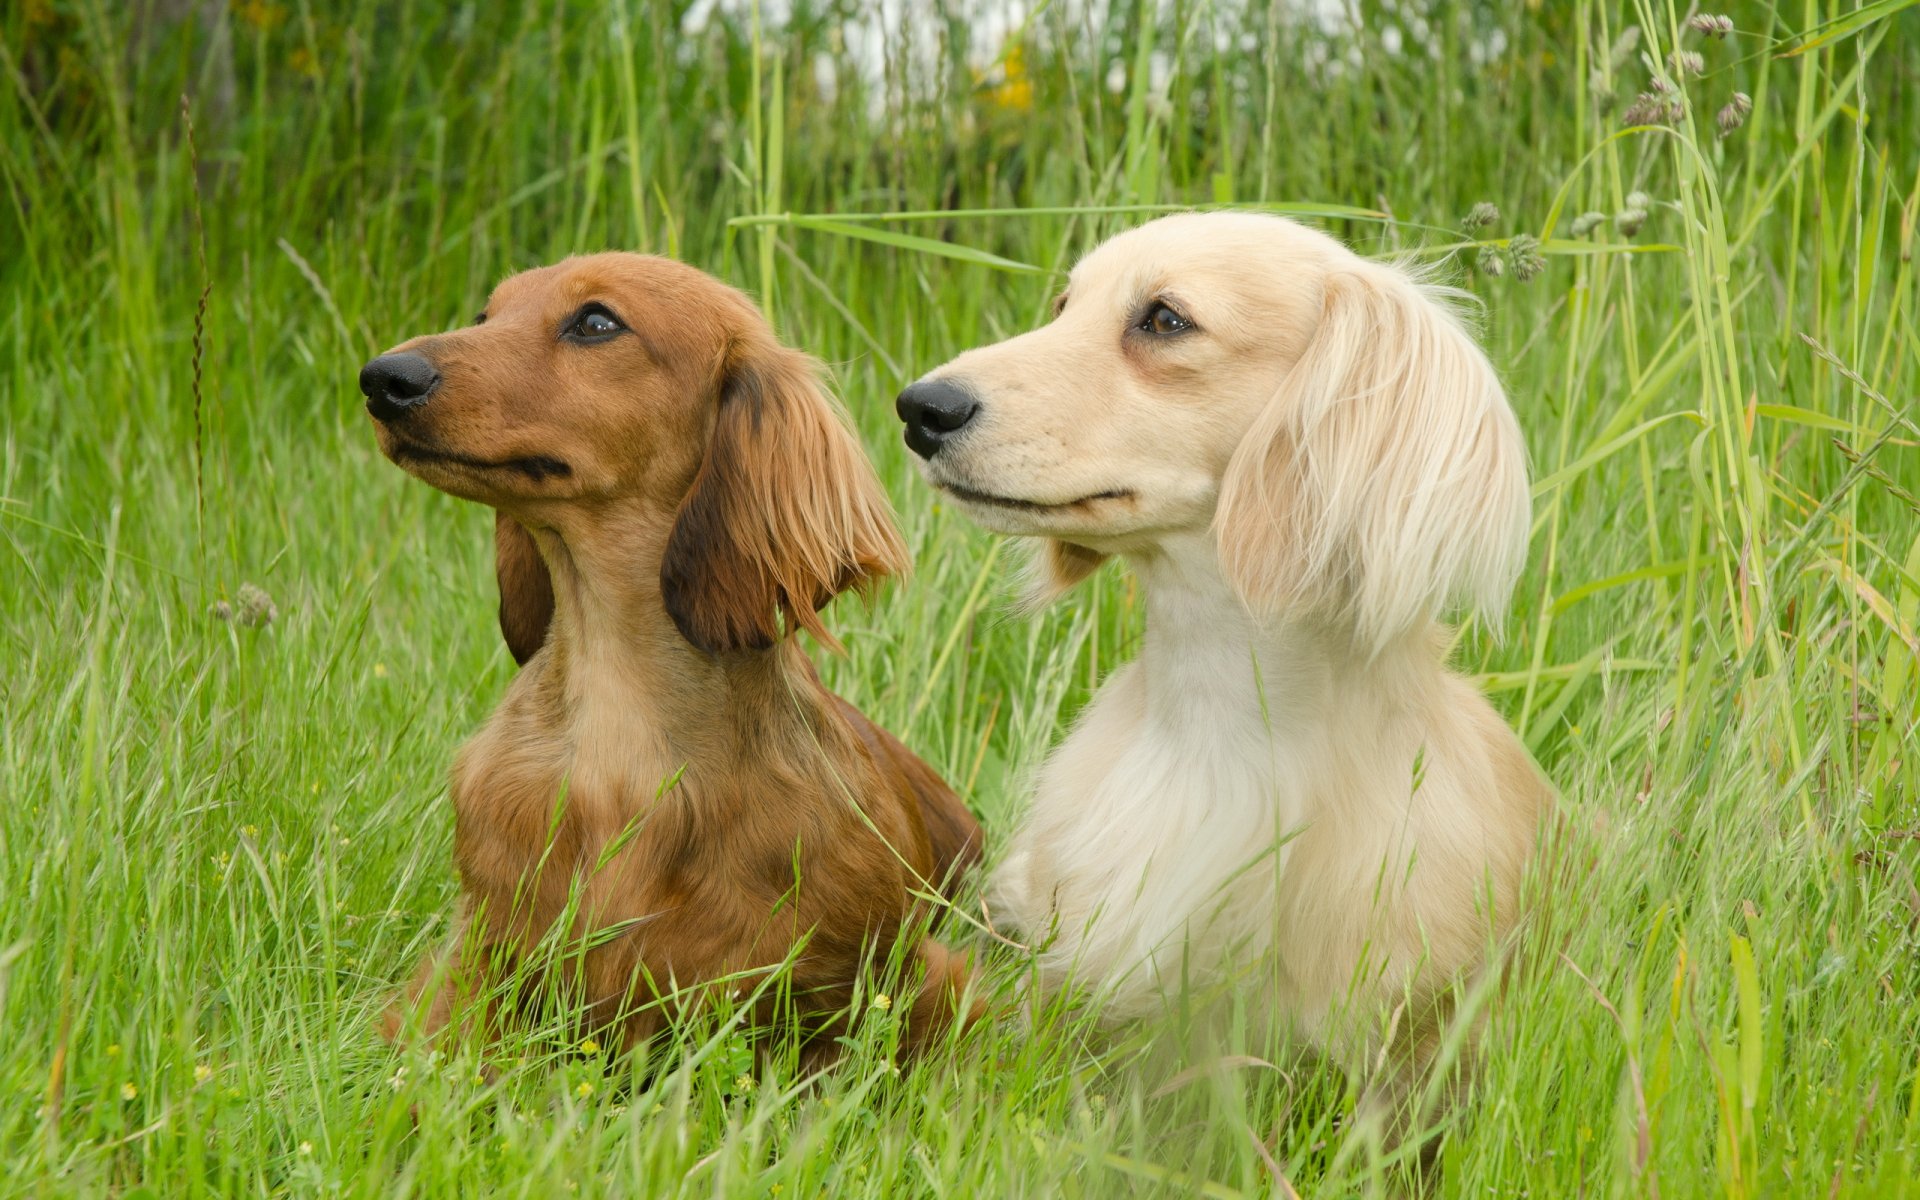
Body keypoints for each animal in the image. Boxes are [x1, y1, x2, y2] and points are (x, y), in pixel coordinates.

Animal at [360, 249, 983, 1059]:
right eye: (485, 316)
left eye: (597, 322)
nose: (382, 378)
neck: (617, 746)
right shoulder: (471, 969)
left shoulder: (883, 989)